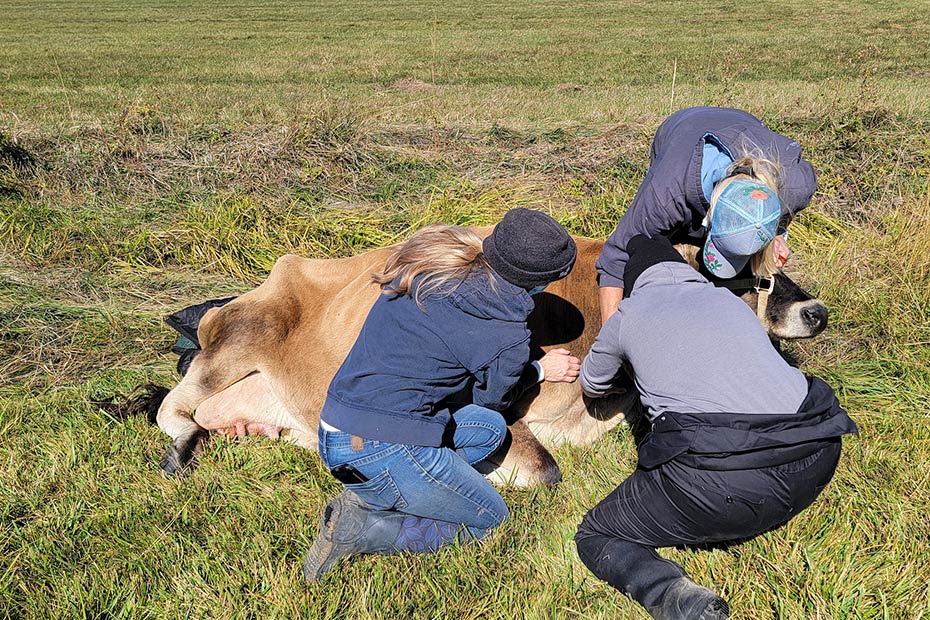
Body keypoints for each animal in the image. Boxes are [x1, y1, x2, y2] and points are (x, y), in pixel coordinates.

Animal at [149, 230, 824, 486]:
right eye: (755, 281)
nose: (815, 311)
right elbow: (544, 469)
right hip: (240, 333)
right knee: (172, 408)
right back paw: (180, 452)